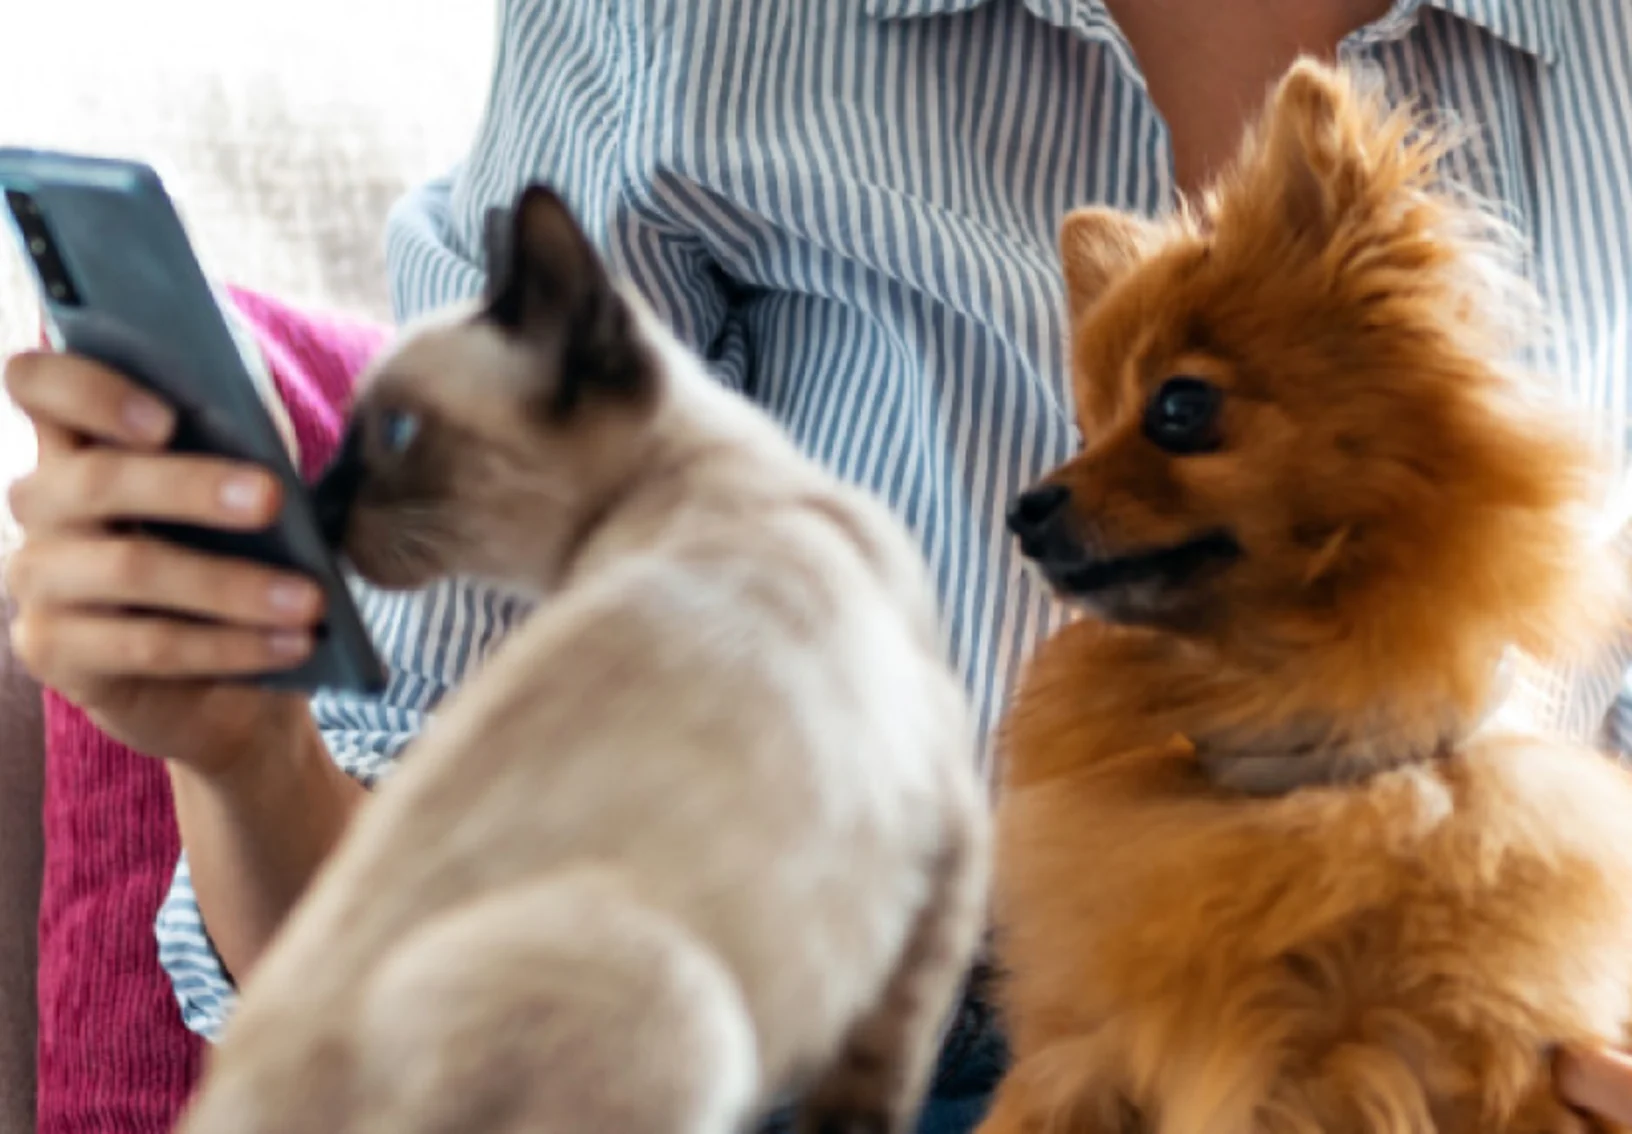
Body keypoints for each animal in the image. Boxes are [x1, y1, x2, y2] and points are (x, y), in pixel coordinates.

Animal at [972, 59, 1632, 1134]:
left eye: (1179, 406)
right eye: (1085, 427)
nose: (1023, 507)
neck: (1299, 758)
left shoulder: (1475, 1066)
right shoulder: (1086, 1062)